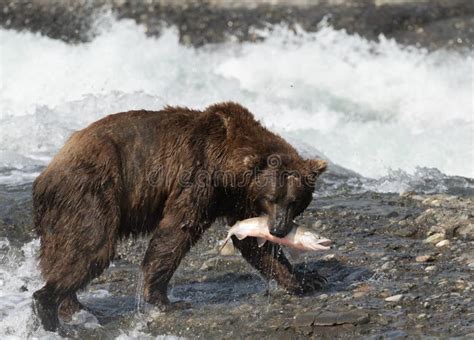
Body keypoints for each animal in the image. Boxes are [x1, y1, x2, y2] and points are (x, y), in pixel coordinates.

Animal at [31, 101, 328, 330]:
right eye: (272, 198)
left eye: (294, 201)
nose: (278, 229)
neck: (228, 167)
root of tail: (47, 172)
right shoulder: (197, 176)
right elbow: (177, 230)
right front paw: (162, 298)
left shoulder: (237, 199)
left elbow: (253, 244)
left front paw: (307, 279)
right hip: (91, 191)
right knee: (92, 248)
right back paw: (47, 308)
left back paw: (73, 307)